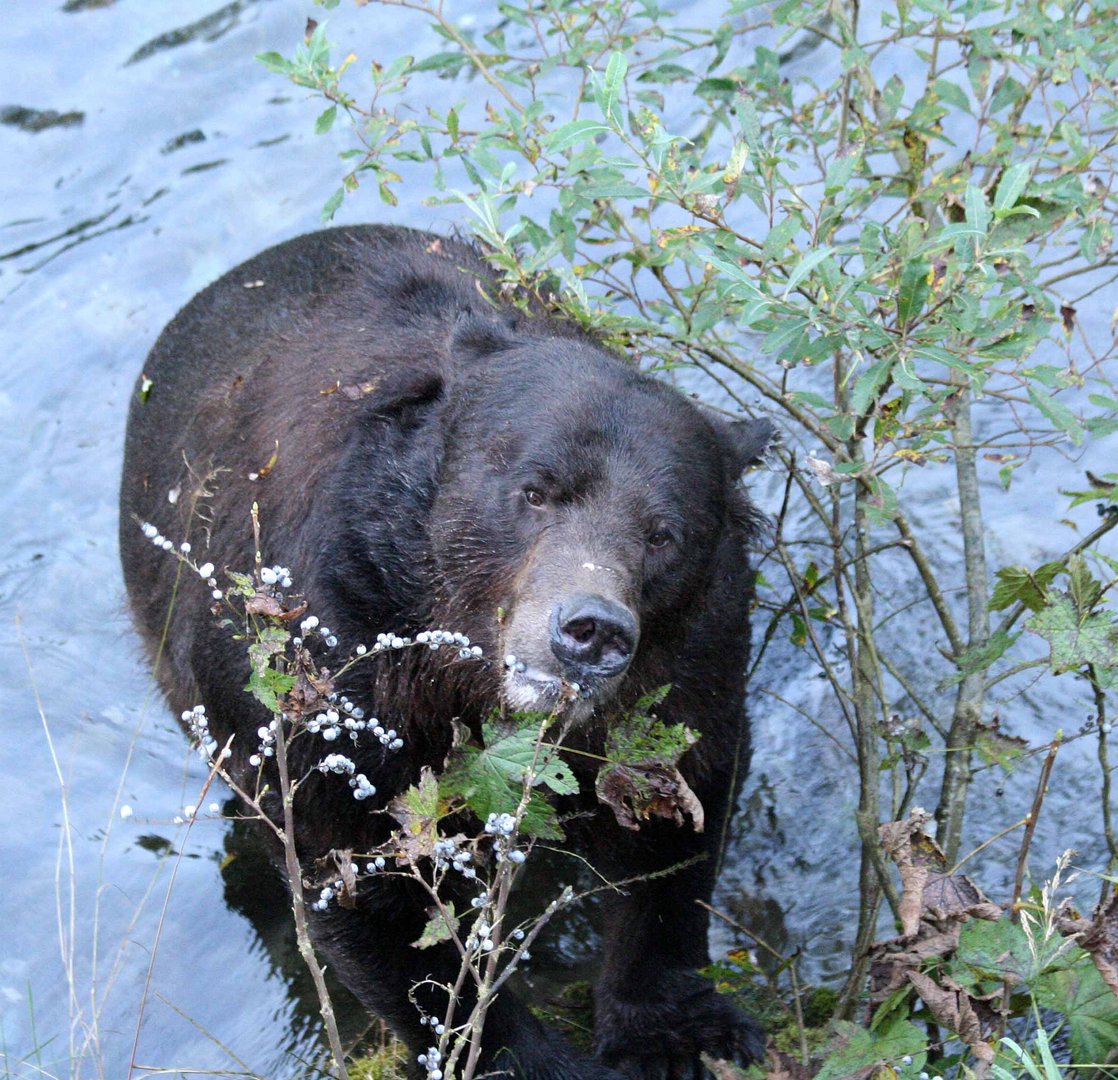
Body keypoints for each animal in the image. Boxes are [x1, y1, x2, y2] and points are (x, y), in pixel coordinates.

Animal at [120, 223, 769, 1077]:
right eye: (535, 489)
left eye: (664, 533)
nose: (591, 630)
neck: (459, 676)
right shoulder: (327, 674)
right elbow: (367, 884)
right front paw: (527, 1054)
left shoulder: (694, 653)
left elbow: (672, 809)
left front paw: (673, 1031)